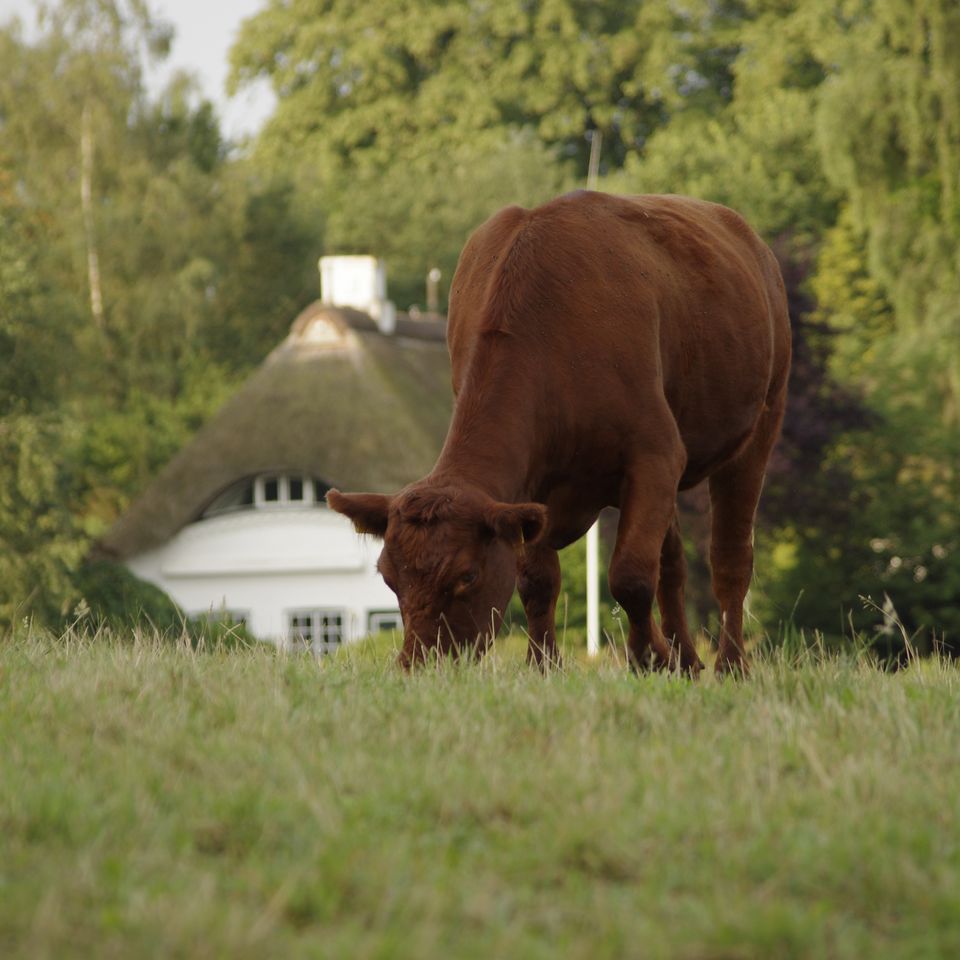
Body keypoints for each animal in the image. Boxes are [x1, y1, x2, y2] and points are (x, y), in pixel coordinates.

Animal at [326, 191, 792, 676]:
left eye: (467, 575)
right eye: (389, 578)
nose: (420, 665)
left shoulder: (655, 453)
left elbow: (630, 575)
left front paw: (648, 658)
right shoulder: (531, 487)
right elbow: (537, 580)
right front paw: (543, 664)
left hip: (760, 425)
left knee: (730, 559)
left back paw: (731, 664)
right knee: (674, 562)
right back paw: (686, 657)